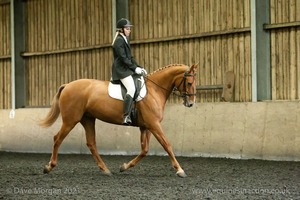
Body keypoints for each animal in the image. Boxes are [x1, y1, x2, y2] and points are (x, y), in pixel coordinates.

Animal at [38, 63, 198, 177]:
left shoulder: (146, 127)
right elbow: (167, 145)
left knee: (91, 143)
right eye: (189, 83)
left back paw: (106, 170)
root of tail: (68, 85)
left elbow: (144, 150)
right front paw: (180, 170)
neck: (154, 90)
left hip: (88, 119)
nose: (191, 103)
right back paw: (49, 167)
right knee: (57, 139)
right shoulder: (154, 125)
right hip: (71, 120)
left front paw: (124, 167)